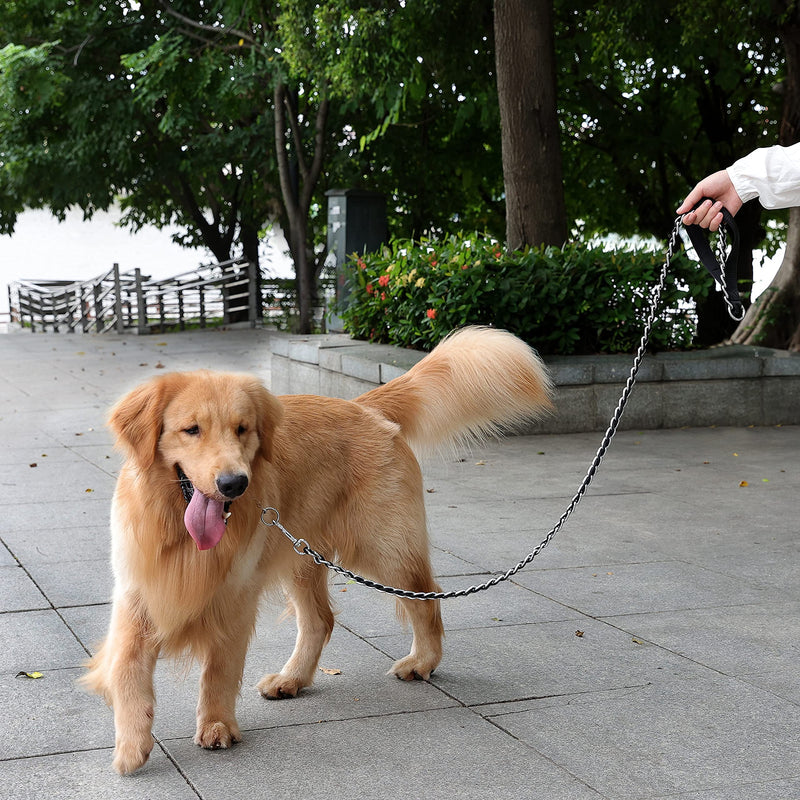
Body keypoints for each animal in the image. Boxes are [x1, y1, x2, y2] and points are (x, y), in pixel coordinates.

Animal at [84, 326, 552, 776]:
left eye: (242, 429)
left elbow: (219, 670)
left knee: (426, 600)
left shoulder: (235, 599)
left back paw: (422, 661)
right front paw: (131, 745)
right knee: (320, 620)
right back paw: (293, 678)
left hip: (383, 550)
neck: (180, 536)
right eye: (191, 429)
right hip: (302, 555)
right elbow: (127, 669)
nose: (235, 483)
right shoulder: (136, 594)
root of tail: (364, 406)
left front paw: (216, 724)